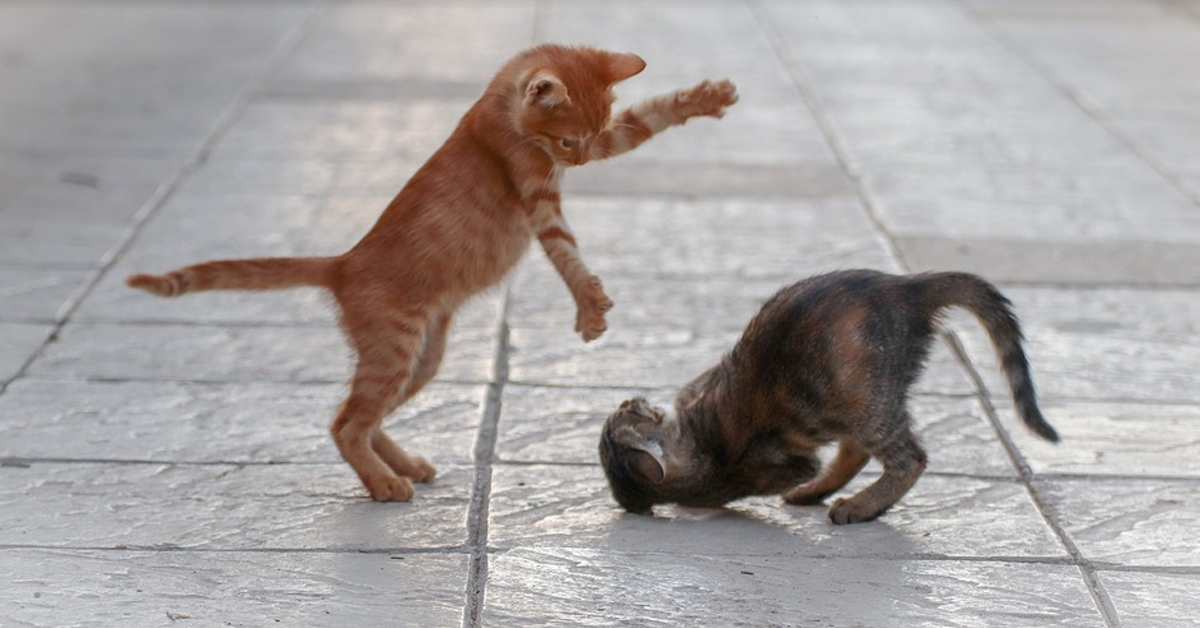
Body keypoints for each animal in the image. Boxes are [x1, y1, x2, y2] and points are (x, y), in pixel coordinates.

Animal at [126, 45, 734, 501]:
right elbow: (567, 254)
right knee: (346, 424)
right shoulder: (538, 198)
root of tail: (343, 263)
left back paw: (403, 466)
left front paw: (702, 98)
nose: (579, 160)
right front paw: (588, 307)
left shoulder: (604, 144)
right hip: (395, 352)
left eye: (591, 133)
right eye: (567, 140)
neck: (496, 109)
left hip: (421, 359)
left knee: (357, 418)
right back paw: (384, 485)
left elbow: (648, 119)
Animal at [595, 270, 1056, 525]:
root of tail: (906, 287)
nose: (628, 400)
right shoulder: (790, 462)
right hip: (863, 400)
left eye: (627, 412)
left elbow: (698, 381)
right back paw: (849, 503)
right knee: (895, 456)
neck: (699, 449)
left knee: (895, 456)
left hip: (862, 400)